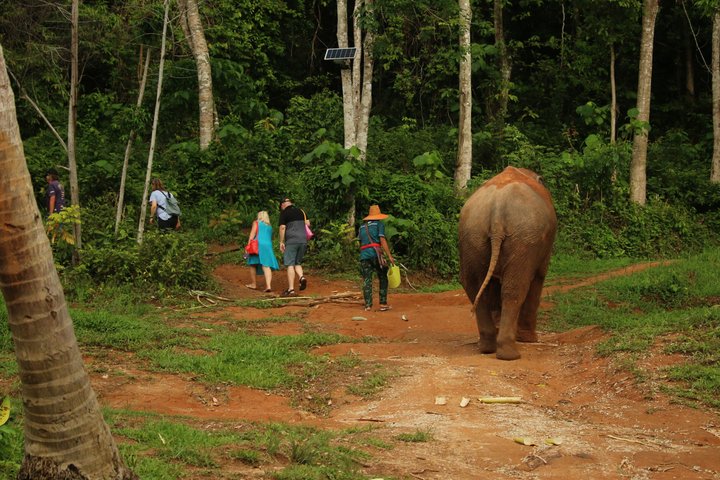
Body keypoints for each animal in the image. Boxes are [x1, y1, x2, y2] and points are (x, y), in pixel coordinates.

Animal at [458, 166, 557, 360]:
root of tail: (497, 211)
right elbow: (539, 276)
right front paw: (529, 340)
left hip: (472, 235)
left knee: (474, 286)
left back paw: (488, 347)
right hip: (524, 238)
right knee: (515, 288)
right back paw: (510, 353)